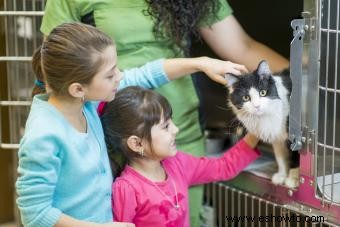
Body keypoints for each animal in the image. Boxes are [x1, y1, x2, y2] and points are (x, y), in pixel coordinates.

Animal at [224, 59, 298, 188]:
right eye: (246, 98)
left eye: (263, 92)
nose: (257, 106)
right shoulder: (277, 138)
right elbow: (281, 158)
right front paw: (282, 175)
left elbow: (296, 158)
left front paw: (293, 179)